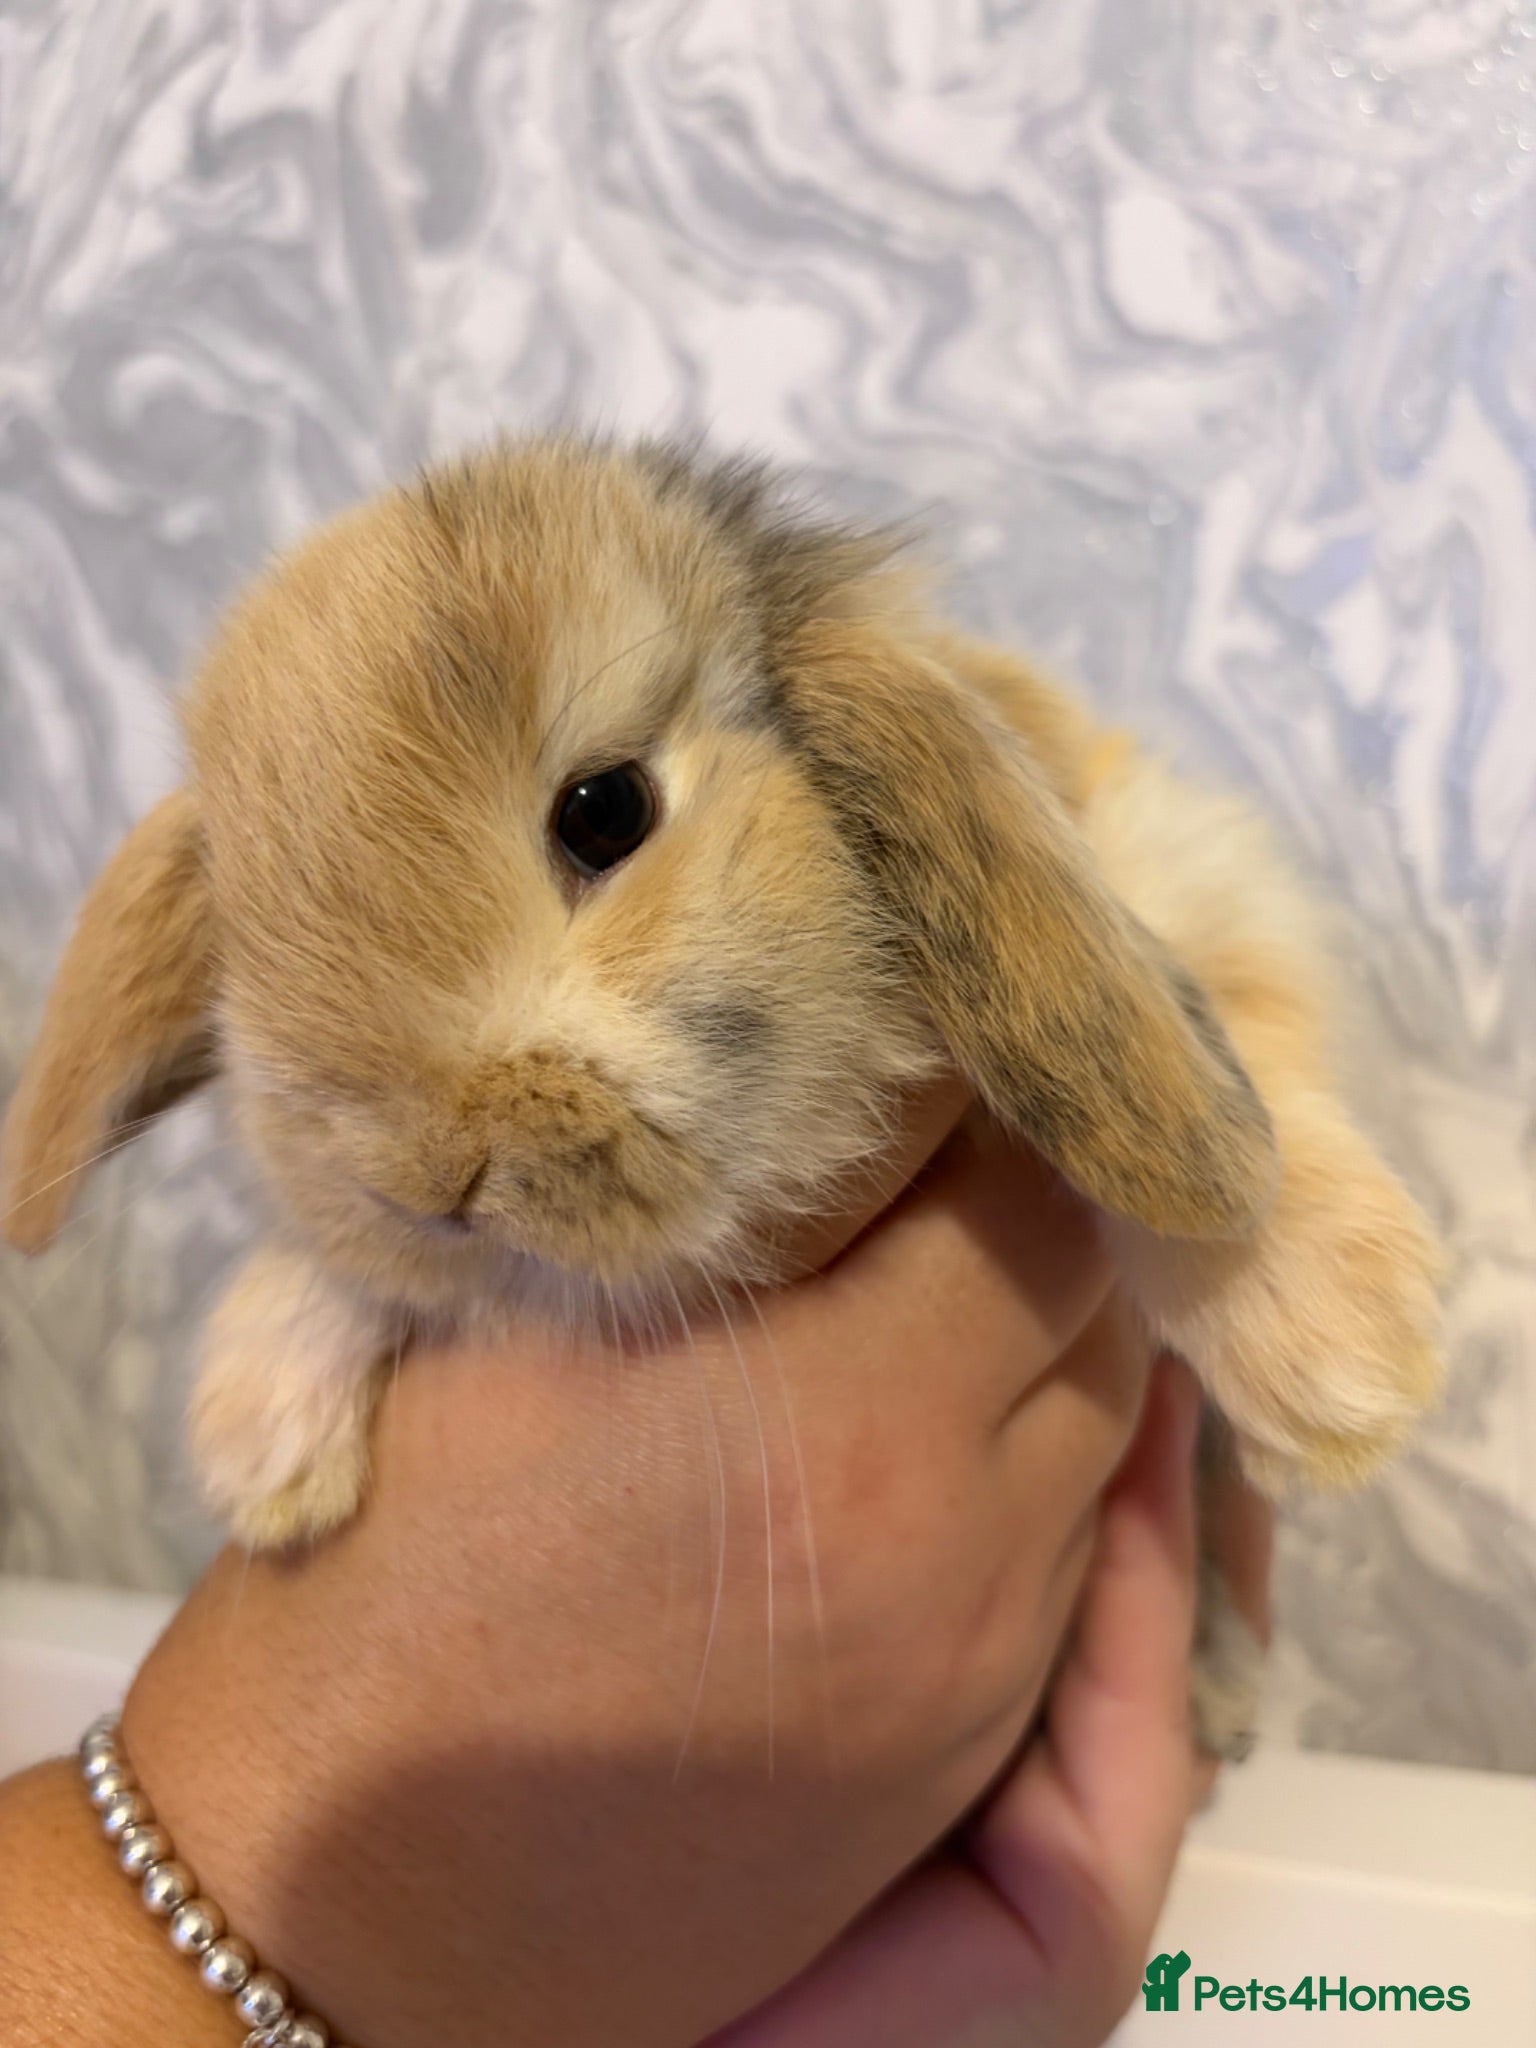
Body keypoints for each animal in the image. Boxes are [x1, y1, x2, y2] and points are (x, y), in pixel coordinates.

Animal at [1, 436, 1444, 1757]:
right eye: (245, 929)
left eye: (605, 809)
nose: (424, 1173)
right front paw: (260, 1429)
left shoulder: (1183, 855)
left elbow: (1243, 1045)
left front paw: (1339, 1357)